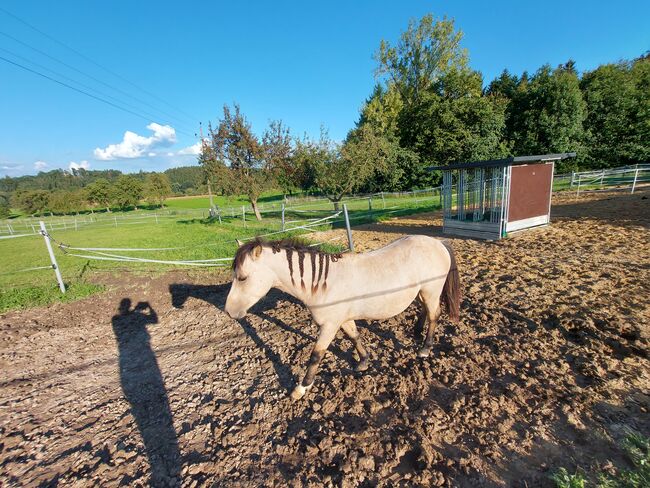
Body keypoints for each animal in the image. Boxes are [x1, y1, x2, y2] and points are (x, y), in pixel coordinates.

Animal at [225, 235, 458, 400]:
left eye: (243, 278)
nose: (228, 311)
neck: (322, 284)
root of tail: (438, 243)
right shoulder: (343, 320)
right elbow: (354, 337)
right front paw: (363, 362)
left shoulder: (329, 326)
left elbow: (316, 355)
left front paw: (302, 388)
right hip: (421, 292)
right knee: (425, 311)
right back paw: (416, 332)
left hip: (431, 290)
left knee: (434, 315)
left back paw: (425, 348)